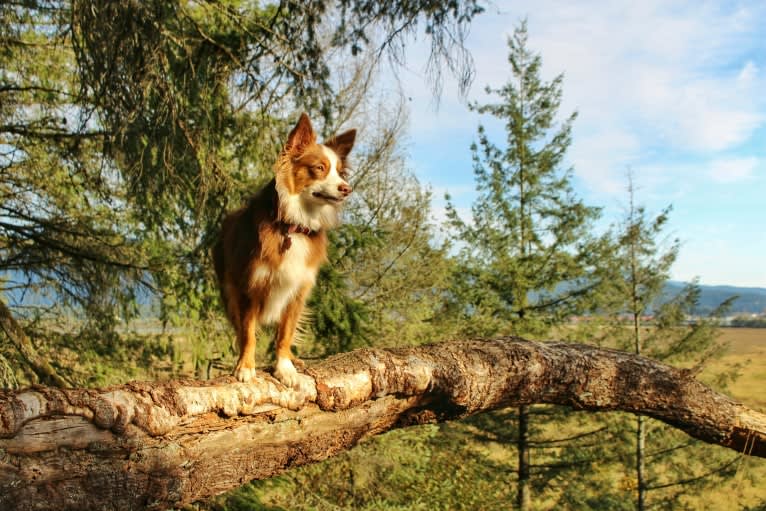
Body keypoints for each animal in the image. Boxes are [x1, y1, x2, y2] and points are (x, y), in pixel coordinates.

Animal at [213, 113, 356, 392]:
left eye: (339, 171)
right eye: (319, 168)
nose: (346, 188)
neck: (293, 226)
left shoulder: (298, 291)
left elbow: (285, 333)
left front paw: (285, 367)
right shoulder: (249, 286)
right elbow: (248, 332)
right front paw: (245, 367)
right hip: (228, 290)